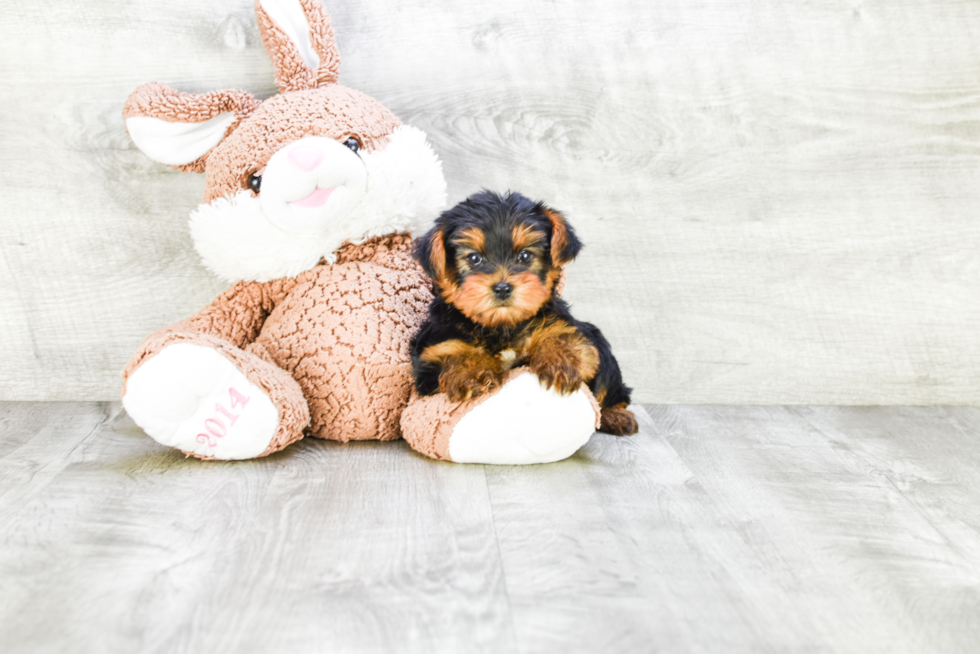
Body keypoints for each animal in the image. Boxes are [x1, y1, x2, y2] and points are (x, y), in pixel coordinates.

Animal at [410, 190, 640, 436]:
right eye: (474, 258)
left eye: (525, 256)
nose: (502, 288)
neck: (502, 326)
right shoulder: (434, 350)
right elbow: (453, 351)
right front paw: (472, 372)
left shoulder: (562, 324)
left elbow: (563, 337)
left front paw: (561, 362)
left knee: (610, 386)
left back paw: (616, 415)